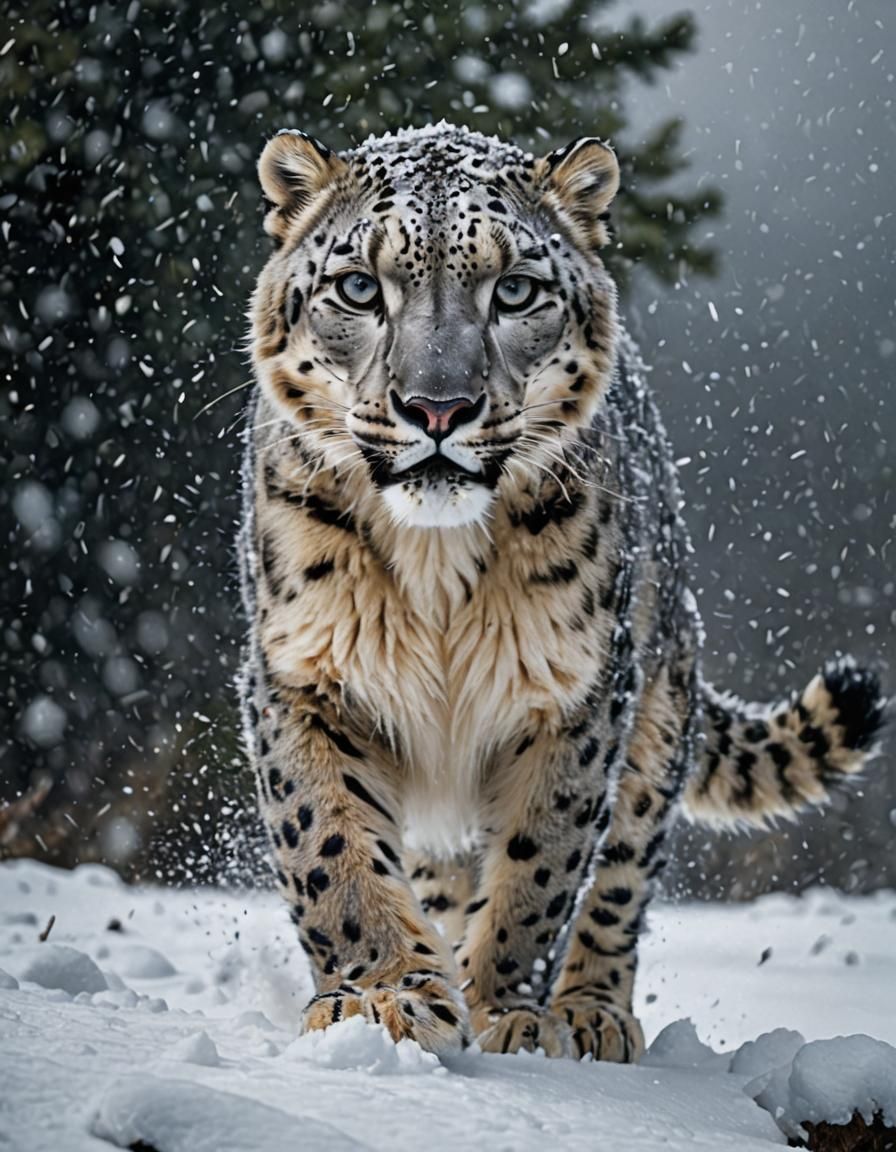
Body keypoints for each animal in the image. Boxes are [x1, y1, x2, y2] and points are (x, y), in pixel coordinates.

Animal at [238, 122, 886, 1061]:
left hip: (655, 720)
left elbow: (540, 864)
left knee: (619, 880)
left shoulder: (575, 694)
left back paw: (591, 1013)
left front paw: (504, 1010)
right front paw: (384, 997)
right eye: (359, 286)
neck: (436, 570)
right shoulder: (304, 674)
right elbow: (330, 846)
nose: (439, 408)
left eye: (515, 290)